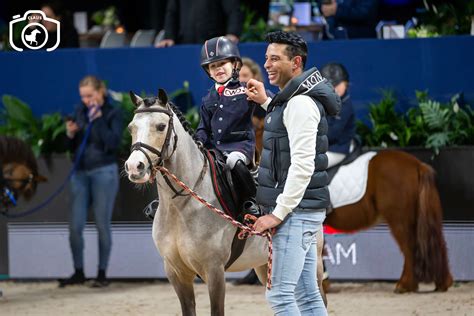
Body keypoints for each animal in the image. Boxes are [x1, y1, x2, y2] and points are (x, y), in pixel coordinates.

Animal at [124, 90, 328, 314]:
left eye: (161, 126)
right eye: (131, 127)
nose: (134, 167)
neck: (181, 206)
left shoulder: (214, 271)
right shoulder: (176, 272)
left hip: (313, 264)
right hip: (265, 265)